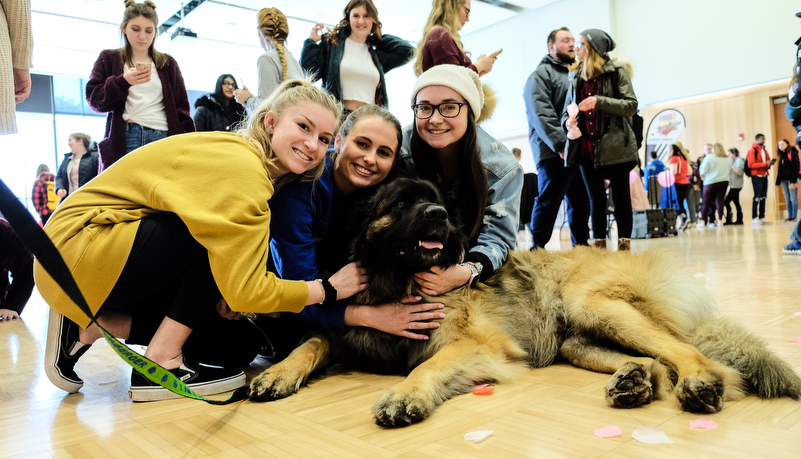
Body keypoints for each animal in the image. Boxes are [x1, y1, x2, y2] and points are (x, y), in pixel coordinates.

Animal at [252, 179, 800, 428]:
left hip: (595, 306)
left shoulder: (473, 344)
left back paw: (699, 383)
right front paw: (277, 372)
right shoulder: (354, 332)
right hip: (578, 338)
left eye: (437, 204)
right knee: (655, 362)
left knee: (690, 354)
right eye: (402, 203)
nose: (439, 215)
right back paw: (633, 381)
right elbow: (314, 341)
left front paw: (404, 395)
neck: (399, 281)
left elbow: (425, 367)